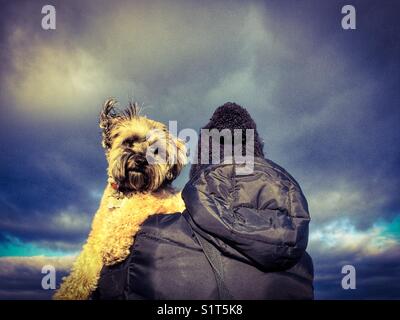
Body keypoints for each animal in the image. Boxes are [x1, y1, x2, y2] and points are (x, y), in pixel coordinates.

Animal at [53, 100, 189, 300]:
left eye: (156, 151)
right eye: (129, 142)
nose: (141, 160)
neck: (127, 191)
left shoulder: (159, 200)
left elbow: (130, 210)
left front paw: (113, 248)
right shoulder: (97, 233)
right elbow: (84, 265)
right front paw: (68, 292)